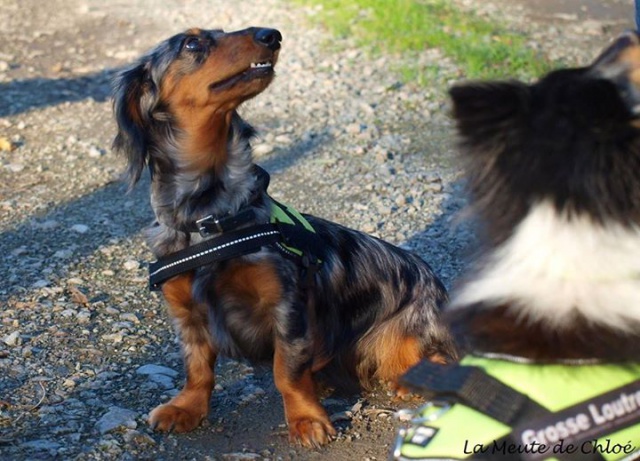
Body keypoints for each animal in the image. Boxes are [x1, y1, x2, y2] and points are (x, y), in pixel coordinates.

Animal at [112, 27, 458, 446]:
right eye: (192, 43)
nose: (271, 34)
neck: (210, 217)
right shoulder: (187, 314)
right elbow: (198, 369)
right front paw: (185, 407)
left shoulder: (286, 306)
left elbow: (286, 372)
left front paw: (307, 419)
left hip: (409, 335)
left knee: (440, 359)